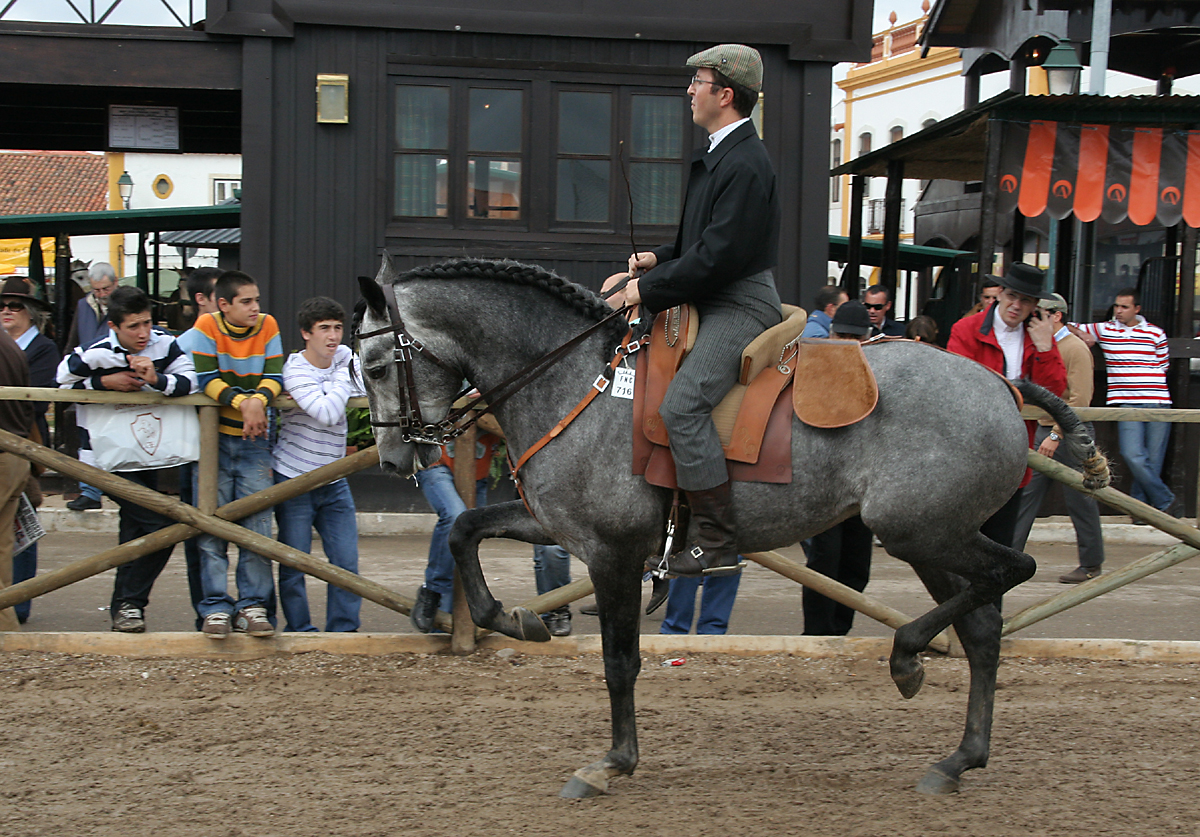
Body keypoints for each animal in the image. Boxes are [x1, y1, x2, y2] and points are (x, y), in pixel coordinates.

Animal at [355, 254, 1104, 796]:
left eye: (375, 364)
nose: (392, 456)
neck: (576, 379)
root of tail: (999, 384)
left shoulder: (612, 552)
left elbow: (620, 662)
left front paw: (614, 761)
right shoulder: (559, 526)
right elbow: (465, 530)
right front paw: (515, 619)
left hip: (922, 531)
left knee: (1013, 572)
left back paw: (908, 657)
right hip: (928, 539)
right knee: (981, 628)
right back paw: (958, 756)